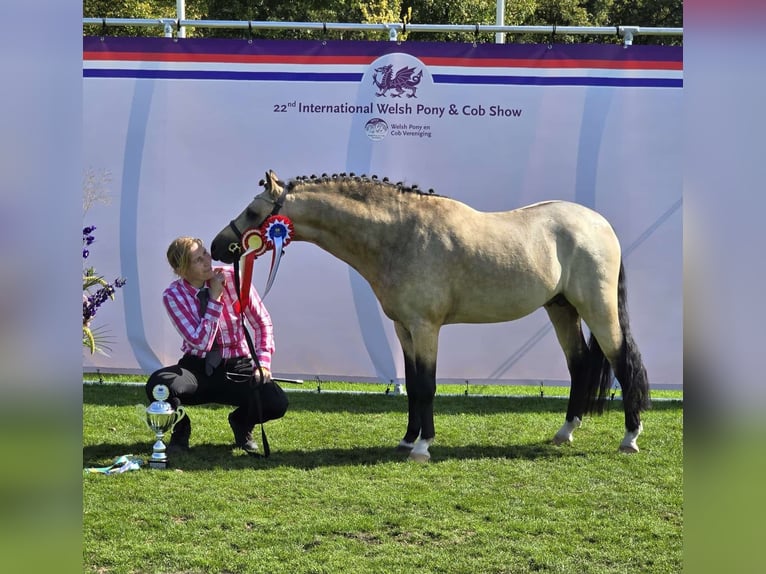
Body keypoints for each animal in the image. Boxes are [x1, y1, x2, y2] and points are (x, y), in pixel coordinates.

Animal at [212, 171, 656, 464]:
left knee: (622, 362)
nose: (218, 247)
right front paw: (409, 440)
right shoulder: (404, 328)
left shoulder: (426, 327)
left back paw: (630, 438)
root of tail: (599, 225)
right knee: (579, 364)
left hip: (597, 309)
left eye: (253, 212)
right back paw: (565, 433)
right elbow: (411, 385)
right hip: (561, 309)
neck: (400, 235)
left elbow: (426, 385)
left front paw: (423, 447)